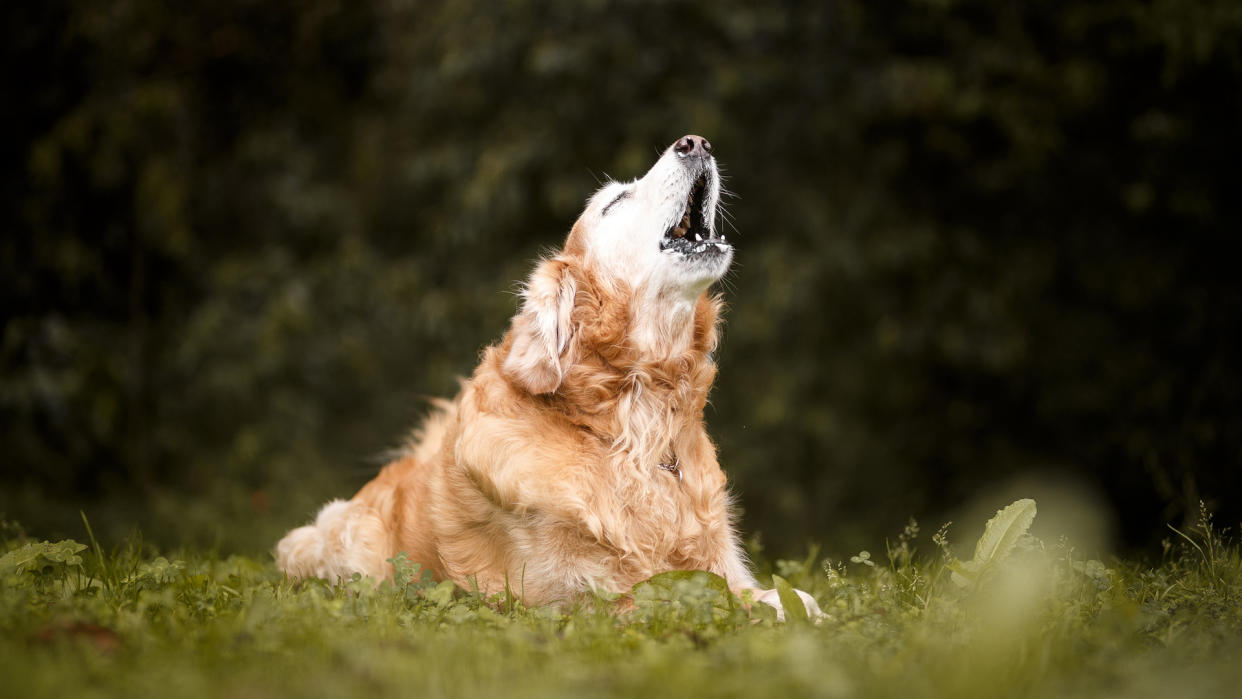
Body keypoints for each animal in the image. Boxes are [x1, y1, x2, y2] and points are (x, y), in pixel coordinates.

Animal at [273, 135, 819, 618]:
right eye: (615, 201)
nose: (696, 142)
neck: (632, 427)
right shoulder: (571, 597)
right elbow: (683, 600)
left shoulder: (720, 562)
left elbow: (763, 592)